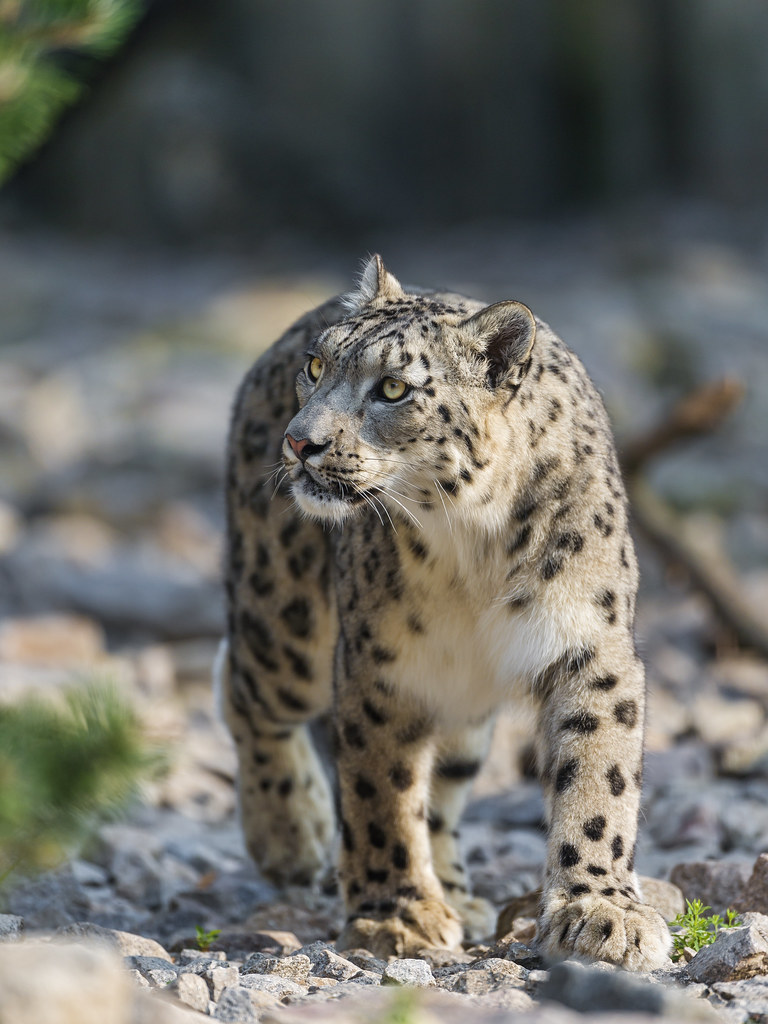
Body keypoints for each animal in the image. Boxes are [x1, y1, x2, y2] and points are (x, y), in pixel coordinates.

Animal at [216, 254, 672, 971]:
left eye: (394, 388)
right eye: (317, 366)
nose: (298, 442)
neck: (472, 543)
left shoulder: (589, 645)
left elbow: (599, 780)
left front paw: (600, 911)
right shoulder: (380, 666)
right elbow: (379, 794)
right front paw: (396, 916)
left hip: (462, 703)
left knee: (443, 782)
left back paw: (458, 894)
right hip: (284, 620)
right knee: (245, 690)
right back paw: (290, 837)